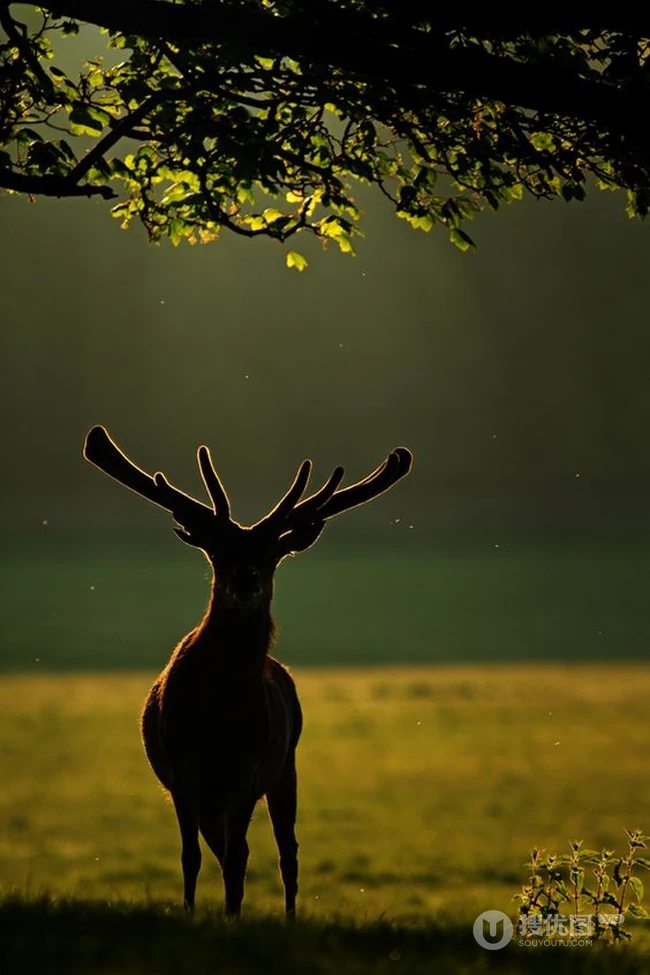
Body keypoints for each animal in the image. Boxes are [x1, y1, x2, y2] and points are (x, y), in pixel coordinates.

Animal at [83, 425, 412, 918]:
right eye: (217, 550)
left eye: (272, 553)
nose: (244, 577)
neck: (218, 715)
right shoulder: (183, 774)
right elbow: (192, 856)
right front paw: (192, 912)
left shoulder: (249, 772)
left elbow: (240, 856)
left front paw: (232, 916)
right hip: (217, 796)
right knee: (224, 850)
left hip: (286, 767)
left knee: (286, 851)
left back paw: (290, 916)